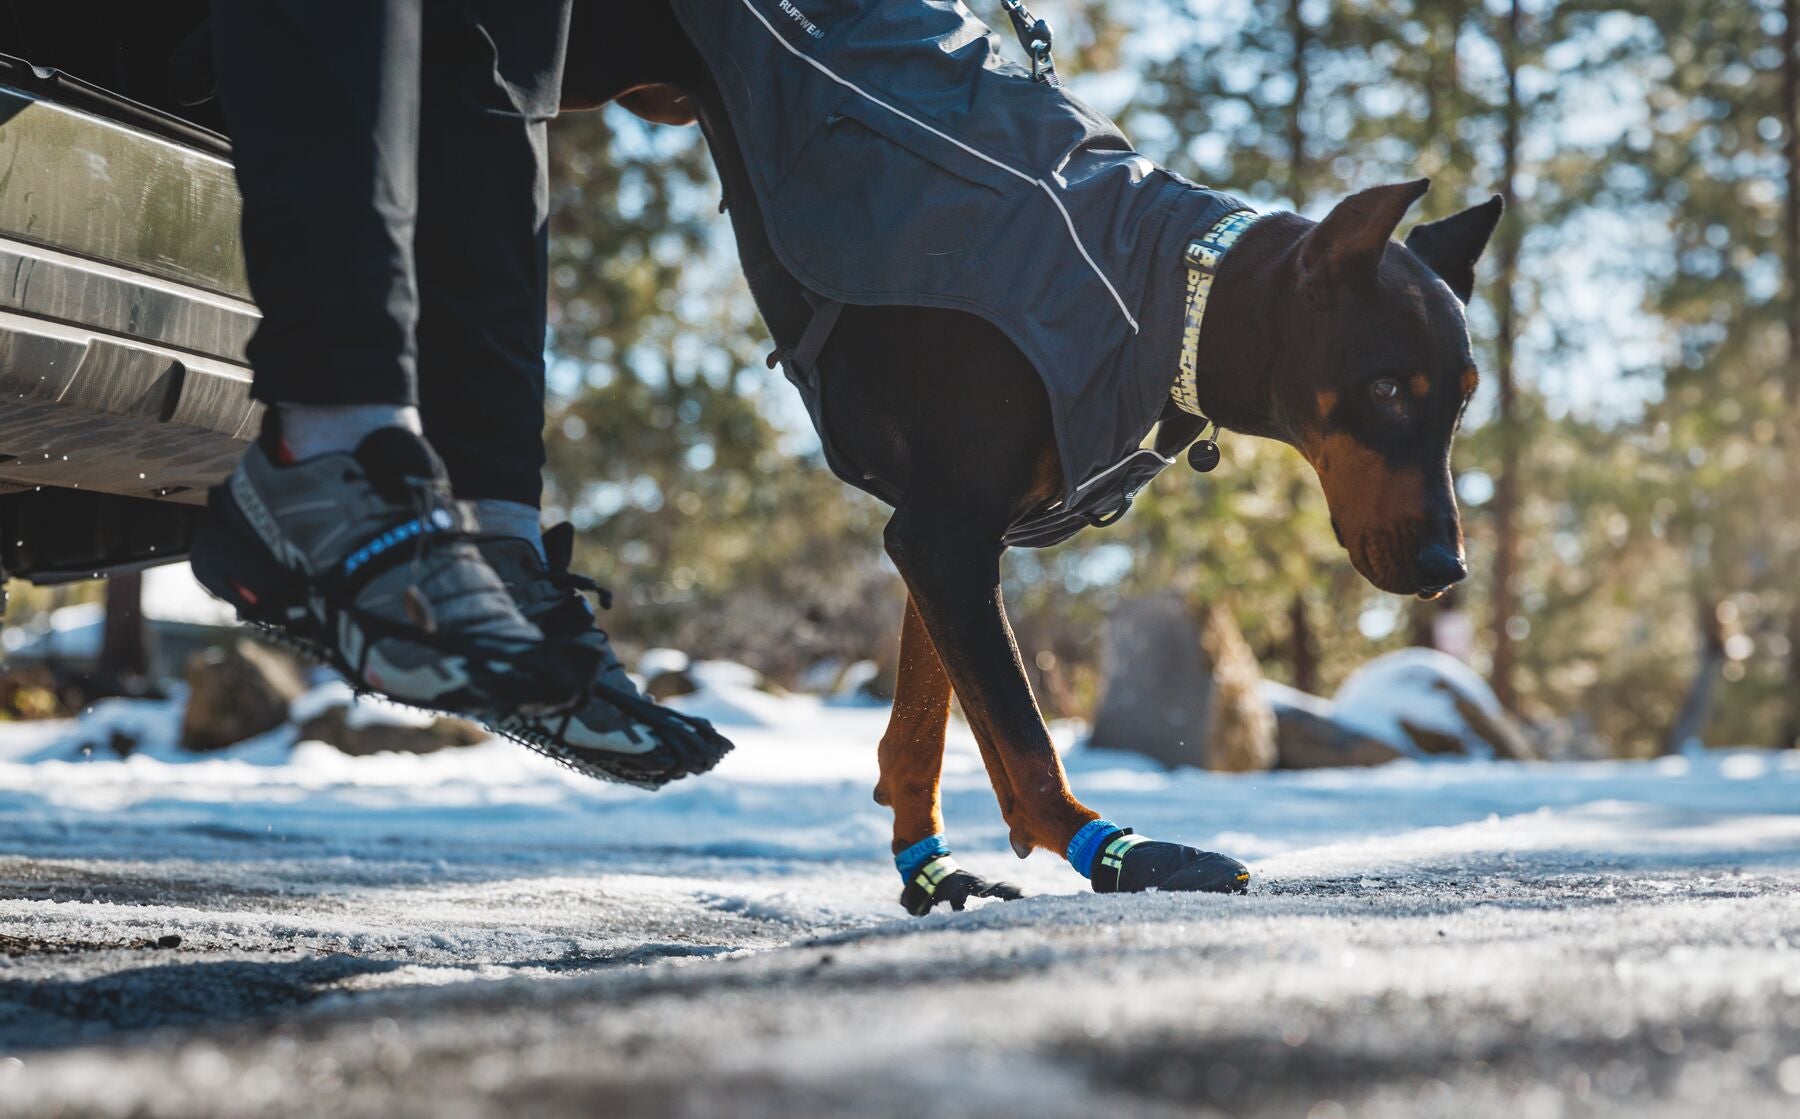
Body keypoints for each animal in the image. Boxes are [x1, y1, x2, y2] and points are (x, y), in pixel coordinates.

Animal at [568, 2, 1497, 913]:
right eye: (1386, 388)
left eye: (1464, 397)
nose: (1446, 566)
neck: (1174, 295)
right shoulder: (944, 534)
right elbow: (1023, 736)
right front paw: (1112, 850)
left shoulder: (942, 533)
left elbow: (925, 715)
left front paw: (926, 862)